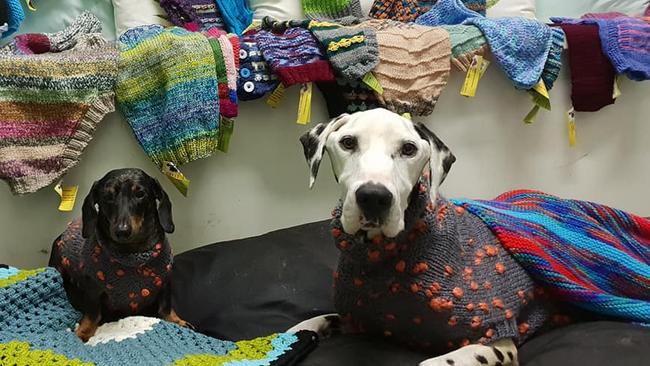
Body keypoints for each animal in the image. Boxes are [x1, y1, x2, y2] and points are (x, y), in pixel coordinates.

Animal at [286, 109, 520, 366]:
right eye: (348, 142)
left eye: (409, 149)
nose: (373, 197)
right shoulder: (358, 320)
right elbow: (311, 322)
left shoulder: (498, 340)